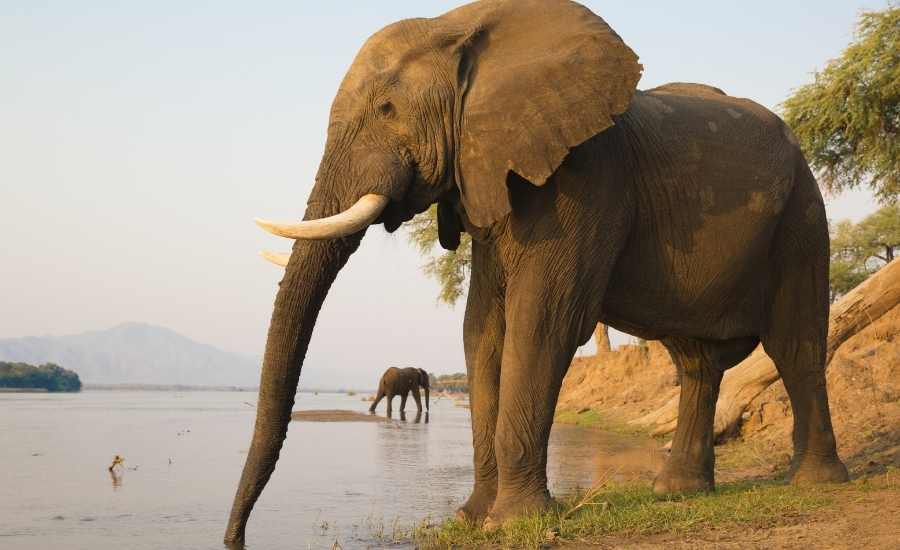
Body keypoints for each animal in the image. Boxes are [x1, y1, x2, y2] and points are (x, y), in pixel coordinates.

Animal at [221, 0, 848, 544]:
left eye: (386, 111)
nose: (235, 539)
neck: (460, 26)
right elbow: (482, 330)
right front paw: (473, 518)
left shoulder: (586, 176)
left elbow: (542, 323)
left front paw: (512, 521)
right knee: (695, 362)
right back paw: (676, 492)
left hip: (802, 218)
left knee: (795, 345)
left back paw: (815, 482)